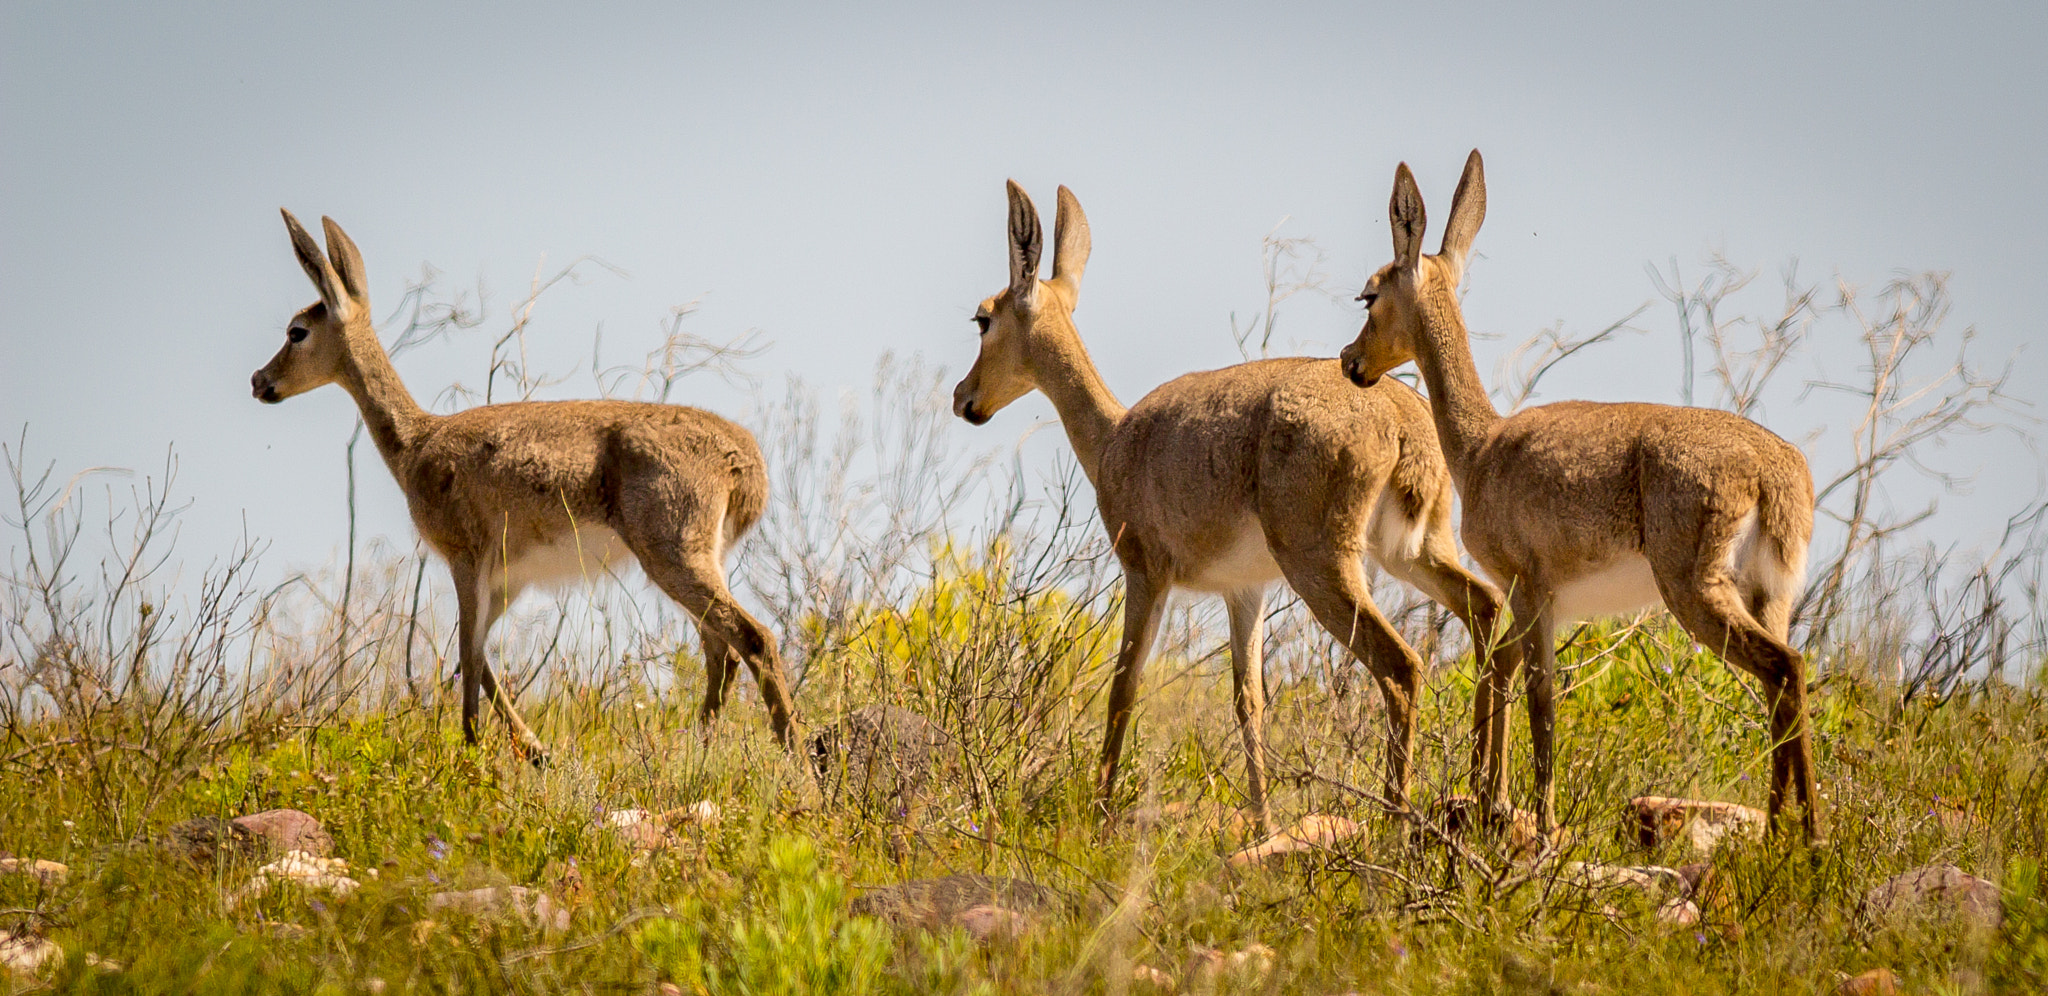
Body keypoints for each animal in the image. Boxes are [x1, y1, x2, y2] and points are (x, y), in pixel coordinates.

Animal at [249, 208, 798, 754]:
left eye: (297, 331)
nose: (259, 381)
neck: (416, 443)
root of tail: (745, 463)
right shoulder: (507, 580)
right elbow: (478, 657)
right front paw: (536, 751)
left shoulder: (466, 559)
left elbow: (469, 657)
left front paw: (473, 751)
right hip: (699, 560)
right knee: (721, 650)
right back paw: (695, 751)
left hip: (674, 556)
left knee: (753, 639)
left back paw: (793, 752)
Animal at [950, 181, 1515, 832]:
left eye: (983, 317)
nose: (964, 398)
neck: (1114, 437)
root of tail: (1403, 422)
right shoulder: (1244, 589)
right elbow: (1249, 700)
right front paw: (1263, 822)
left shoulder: (1145, 573)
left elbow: (1123, 686)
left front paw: (1099, 814)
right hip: (1415, 552)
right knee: (1486, 612)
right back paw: (1488, 798)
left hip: (1325, 566)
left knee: (1401, 667)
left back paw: (1396, 821)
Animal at [1343, 151, 1826, 840]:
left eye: (1370, 293)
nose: (1350, 360)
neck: (1481, 447)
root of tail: (1776, 472)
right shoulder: (1534, 600)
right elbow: (1509, 673)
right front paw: (1493, 804)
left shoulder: (1531, 588)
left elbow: (1541, 698)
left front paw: (1538, 824)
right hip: (1770, 595)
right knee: (1783, 682)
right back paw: (1786, 836)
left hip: (1696, 590)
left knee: (1785, 668)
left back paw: (1801, 838)